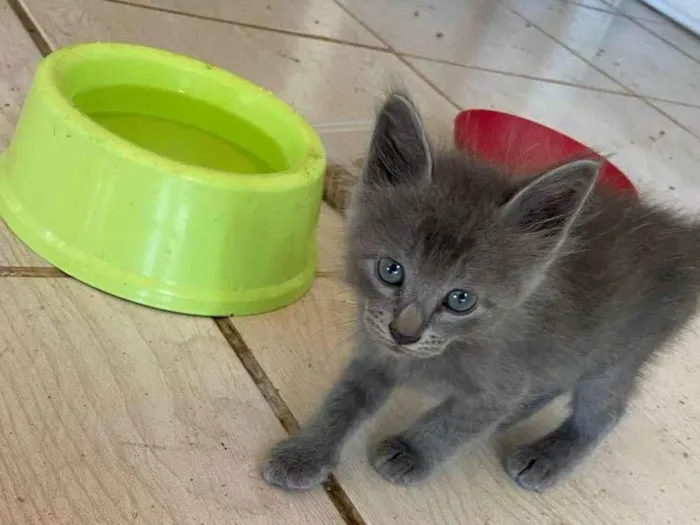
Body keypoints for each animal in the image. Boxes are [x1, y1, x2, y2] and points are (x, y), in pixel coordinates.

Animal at [262, 91, 700, 492]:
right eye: (391, 270)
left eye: (460, 300)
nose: (404, 333)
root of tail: (683, 237)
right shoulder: (375, 351)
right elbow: (343, 400)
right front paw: (305, 452)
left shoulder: (504, 380)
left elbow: (458, 421)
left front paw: (412, 451)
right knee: (553, 383)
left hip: (617, 356)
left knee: (604, 412)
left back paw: (546, 456)